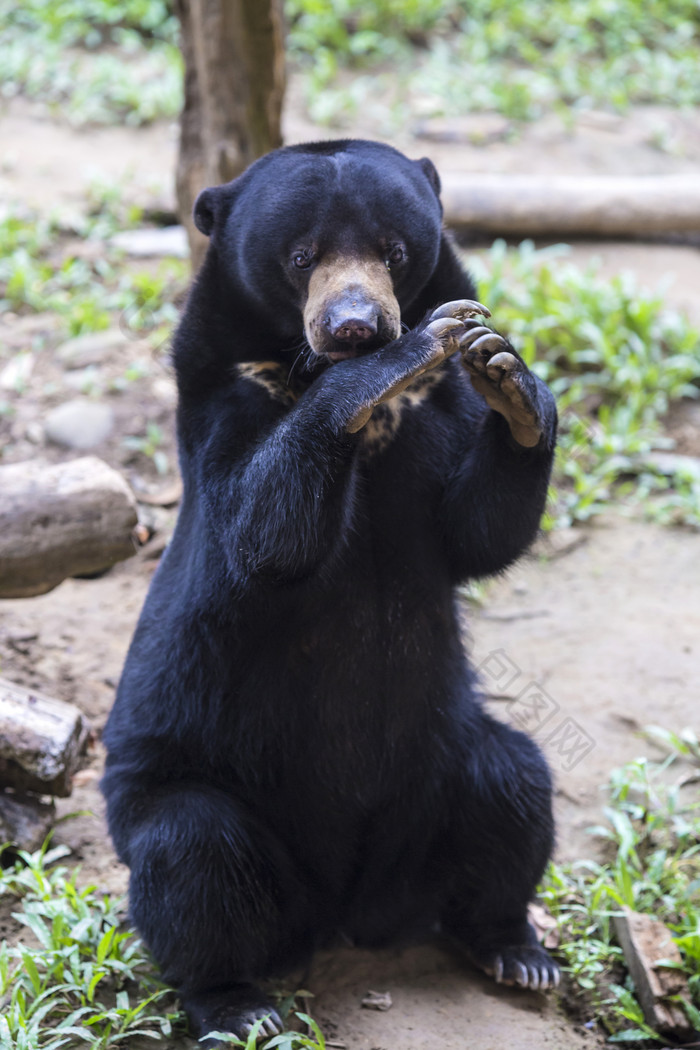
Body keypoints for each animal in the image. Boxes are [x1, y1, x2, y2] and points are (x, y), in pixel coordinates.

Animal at [102, 137, 558, 1041]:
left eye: (394, 249)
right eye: (301, 255)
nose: (356, 326)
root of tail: (348, 913)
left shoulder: (437, 419)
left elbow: (477, 531)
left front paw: (506, 372)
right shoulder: (228, 397)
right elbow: (263, 534)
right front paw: (401, 354)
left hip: (438, 773)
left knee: (513, 782)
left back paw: (514, 950)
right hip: (188, 789)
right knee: (192, 854)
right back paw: (238, 1002)